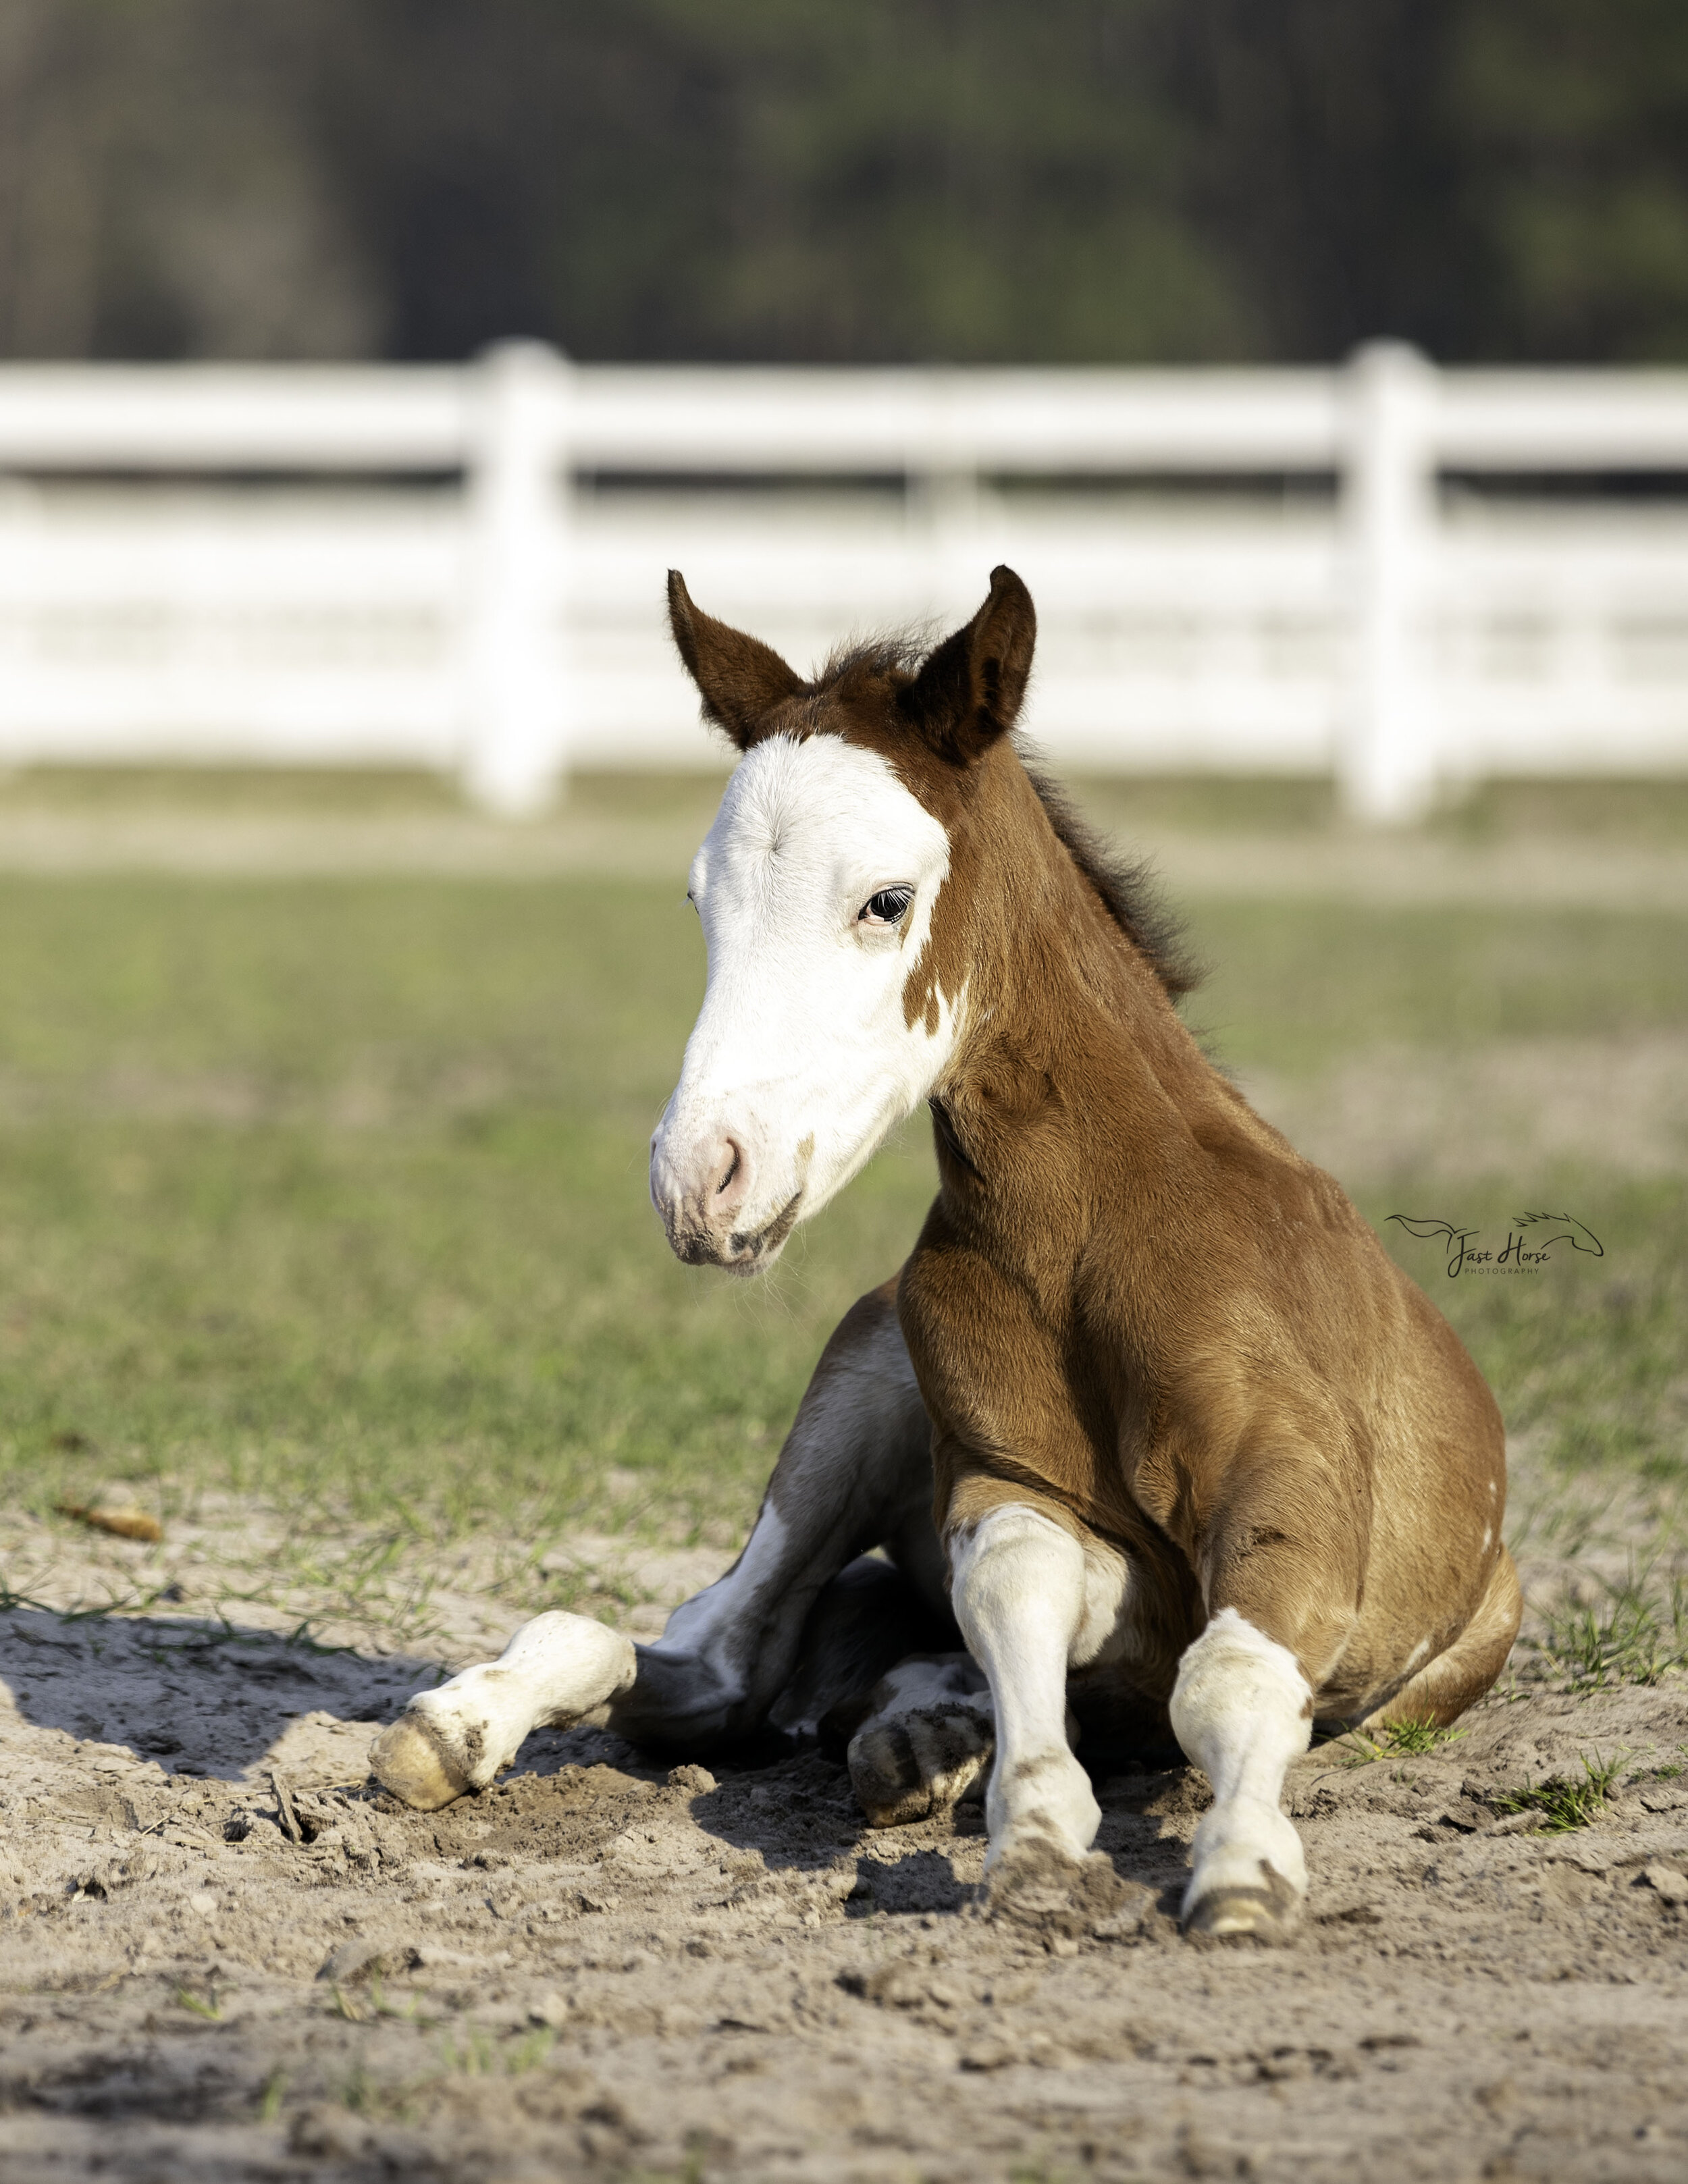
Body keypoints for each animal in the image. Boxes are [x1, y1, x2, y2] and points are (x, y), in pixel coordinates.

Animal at [371, 568, 1528, 1948]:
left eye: (887, 899)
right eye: (702, 903)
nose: (701, 1181)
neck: (1090, 1232)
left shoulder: (1297, 1483)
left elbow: (1229, 1674)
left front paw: (1241, 1869)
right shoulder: (1003, 1481)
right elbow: (1023, 1581)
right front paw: (1034, 1836)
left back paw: (919, 1734)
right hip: (863, 1378)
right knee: (717, 1660)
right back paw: (474, 1726)